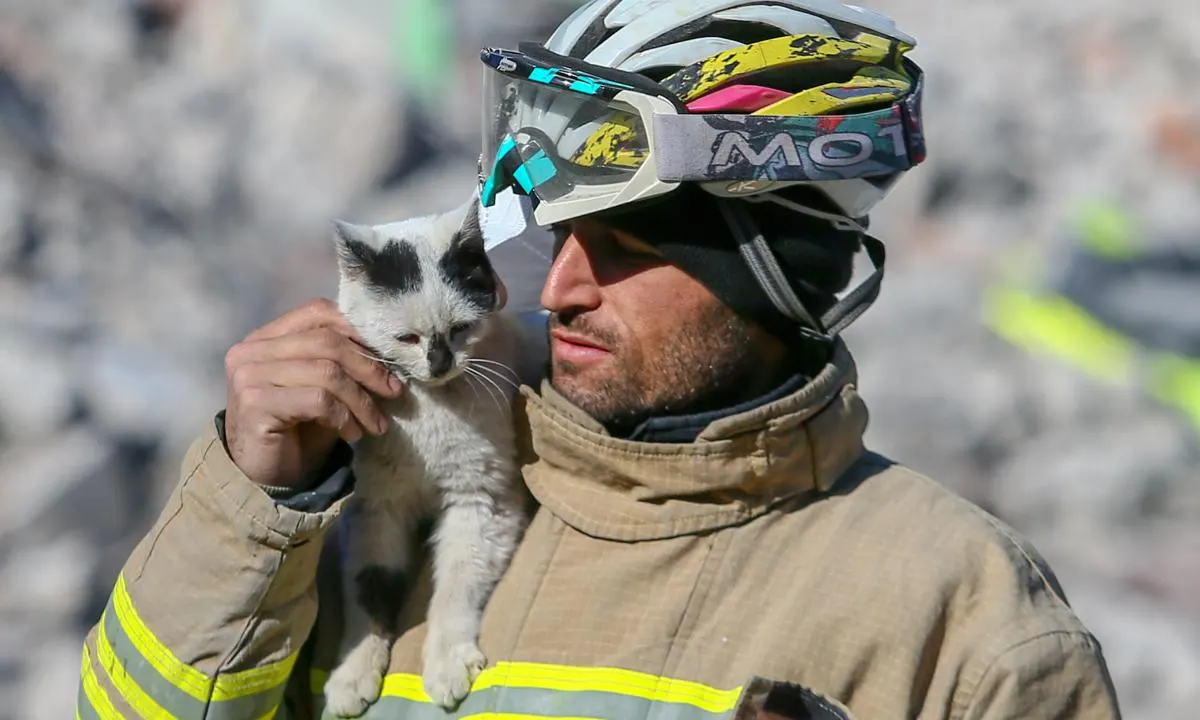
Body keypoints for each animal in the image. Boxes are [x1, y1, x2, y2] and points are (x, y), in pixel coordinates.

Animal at [324, 195, 540, 715]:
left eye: (459, 329)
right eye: (407, 338)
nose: (440, 363)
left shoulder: (483, 500)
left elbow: (456, 587)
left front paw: (447, 665)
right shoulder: (374, 508)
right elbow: (368, 589)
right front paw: (352, 673)